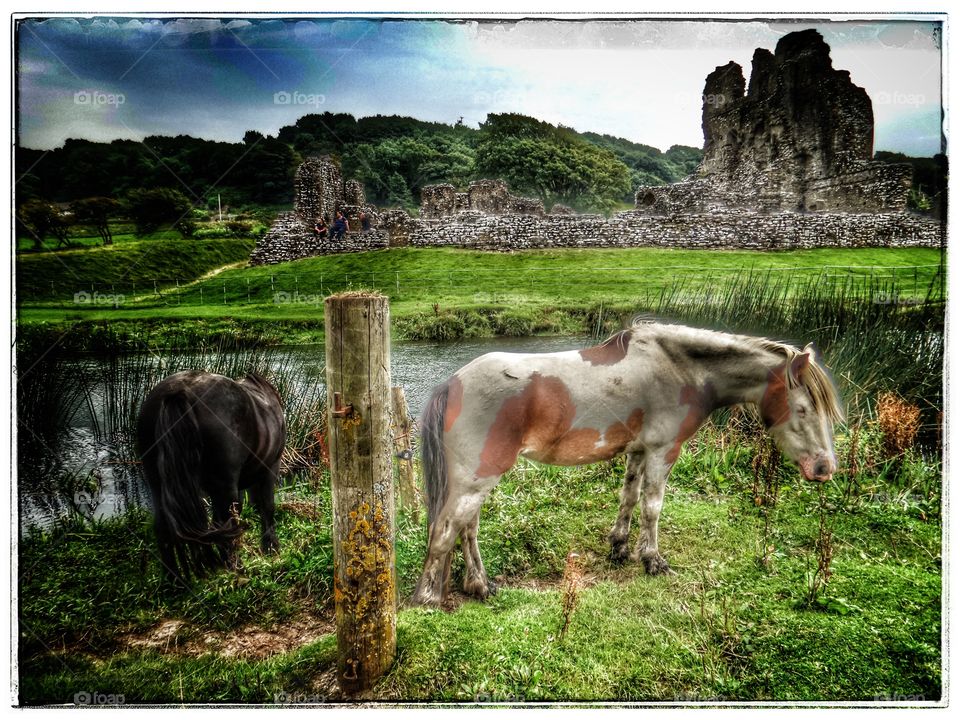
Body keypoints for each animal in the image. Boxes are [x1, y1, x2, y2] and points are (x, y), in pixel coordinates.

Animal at [137, 372, 284, 584]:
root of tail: (177, 392)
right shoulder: (271, 468)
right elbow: (267, 507)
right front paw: (271, 547)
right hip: (225, 486)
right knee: (225, 525)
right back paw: (236, 570)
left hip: (157, 483)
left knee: (163, 529)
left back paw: (174, 581)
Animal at [410, 324, 840, 604]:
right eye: (803, 409)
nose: (824, 468)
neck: (682, 369)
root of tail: (452, 383)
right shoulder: (664, 450)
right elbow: (652, 506)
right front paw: (652, 560)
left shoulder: (638, 450)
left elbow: (629, 498)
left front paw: (619, 546)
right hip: (477, 478)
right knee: (446, 530)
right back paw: (428, 598)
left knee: (466, 529)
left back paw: (480, 586)